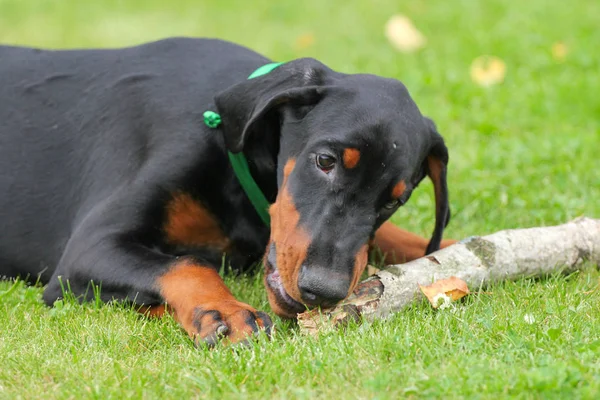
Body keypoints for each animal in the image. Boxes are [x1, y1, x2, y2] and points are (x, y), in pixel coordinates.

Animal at [0, 36, 452, 344]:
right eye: (325, 160)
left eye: (395, 199)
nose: (324, 290)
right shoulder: (87, 250)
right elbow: (186, 263)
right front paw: (226, 312)